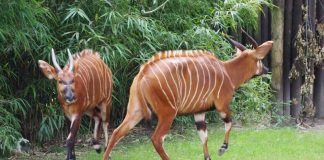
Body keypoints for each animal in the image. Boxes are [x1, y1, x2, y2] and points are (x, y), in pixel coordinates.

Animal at [102, 31, 272, 160]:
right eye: (260, 60)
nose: (267, 69)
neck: (227, 72)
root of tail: (143, 73)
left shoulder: (199, 112)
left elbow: (204, 137)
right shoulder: (222, 105)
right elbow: (229, 123)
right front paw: (222, 149)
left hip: (135, 111)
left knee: (117, 132)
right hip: (168, 113)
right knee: (157, 139)